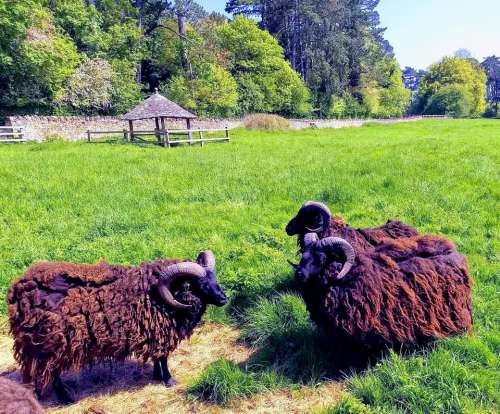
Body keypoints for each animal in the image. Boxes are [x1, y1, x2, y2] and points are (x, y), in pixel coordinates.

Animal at [7, 251, 227, 402]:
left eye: (214, 278)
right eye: (201, 284)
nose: (224, 299)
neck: (161, 296)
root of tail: (18, 290)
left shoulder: (155, 333)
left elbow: (157, 358)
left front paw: (157, 375)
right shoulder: (160, 332)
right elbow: (163, 357)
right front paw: (168, 380)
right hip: (53, 343)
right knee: (51, 373)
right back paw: (66, 398)